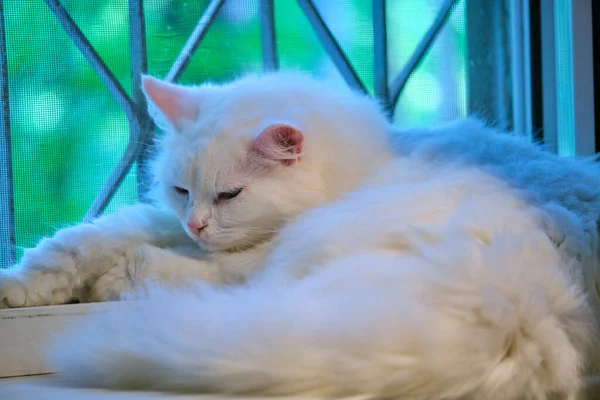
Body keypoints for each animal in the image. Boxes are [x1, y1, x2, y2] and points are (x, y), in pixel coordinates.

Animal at [1, 72, 600, 400]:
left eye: (229, 195)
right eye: (180, 189)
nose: (197, 225)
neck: (375, 153)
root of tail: (517, 310)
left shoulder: (242, 248)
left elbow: (141, 251)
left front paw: (106, 276)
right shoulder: (170, 224)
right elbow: (82, 240)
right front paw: (21, 286)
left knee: (205, 284)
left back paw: (118, 284)